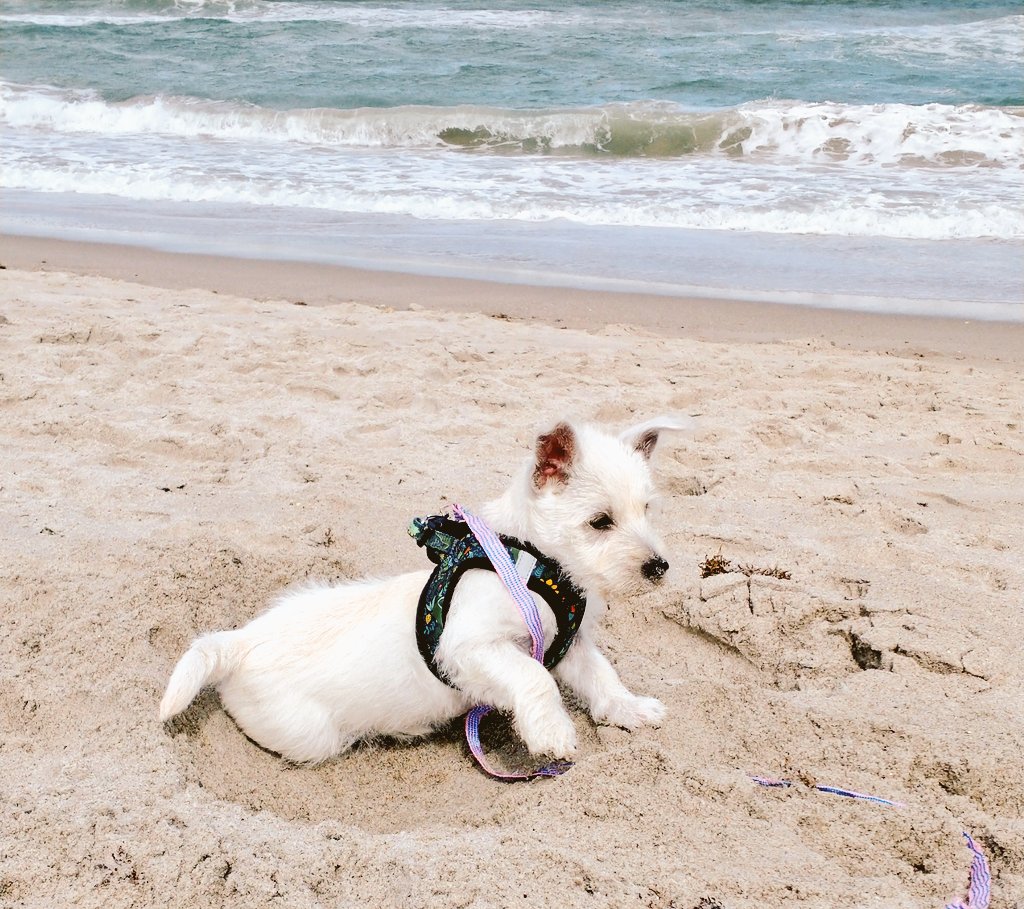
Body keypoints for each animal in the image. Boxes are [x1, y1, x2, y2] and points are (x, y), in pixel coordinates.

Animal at [159, 419, 684, 765]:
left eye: (647, 509)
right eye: (600, 521)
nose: (659, 567)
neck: (535, 567)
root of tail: (241, 642)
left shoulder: (567, 644)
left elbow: (602, 675)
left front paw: (630, 708)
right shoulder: (468, 648)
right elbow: (535, 678)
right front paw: (552, 731)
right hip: (311, 734)